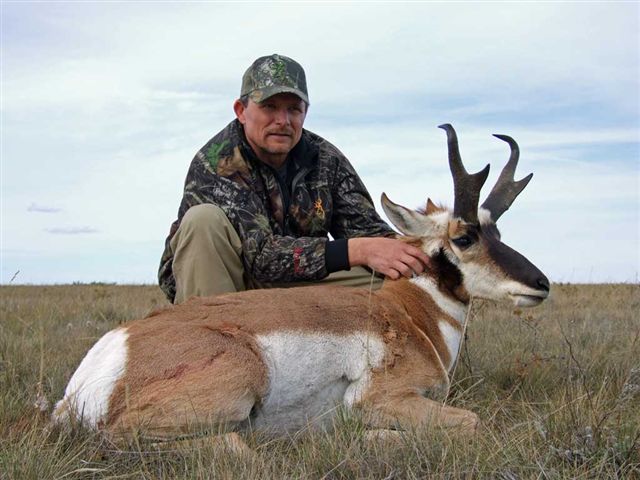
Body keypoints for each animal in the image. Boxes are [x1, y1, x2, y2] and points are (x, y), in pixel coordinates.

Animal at [52, 123, 548, 438]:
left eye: (498, 232)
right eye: (464, 237)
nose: (541, 284)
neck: (411, 313)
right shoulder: (381, 400)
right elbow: (472, 422)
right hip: (241, 379)